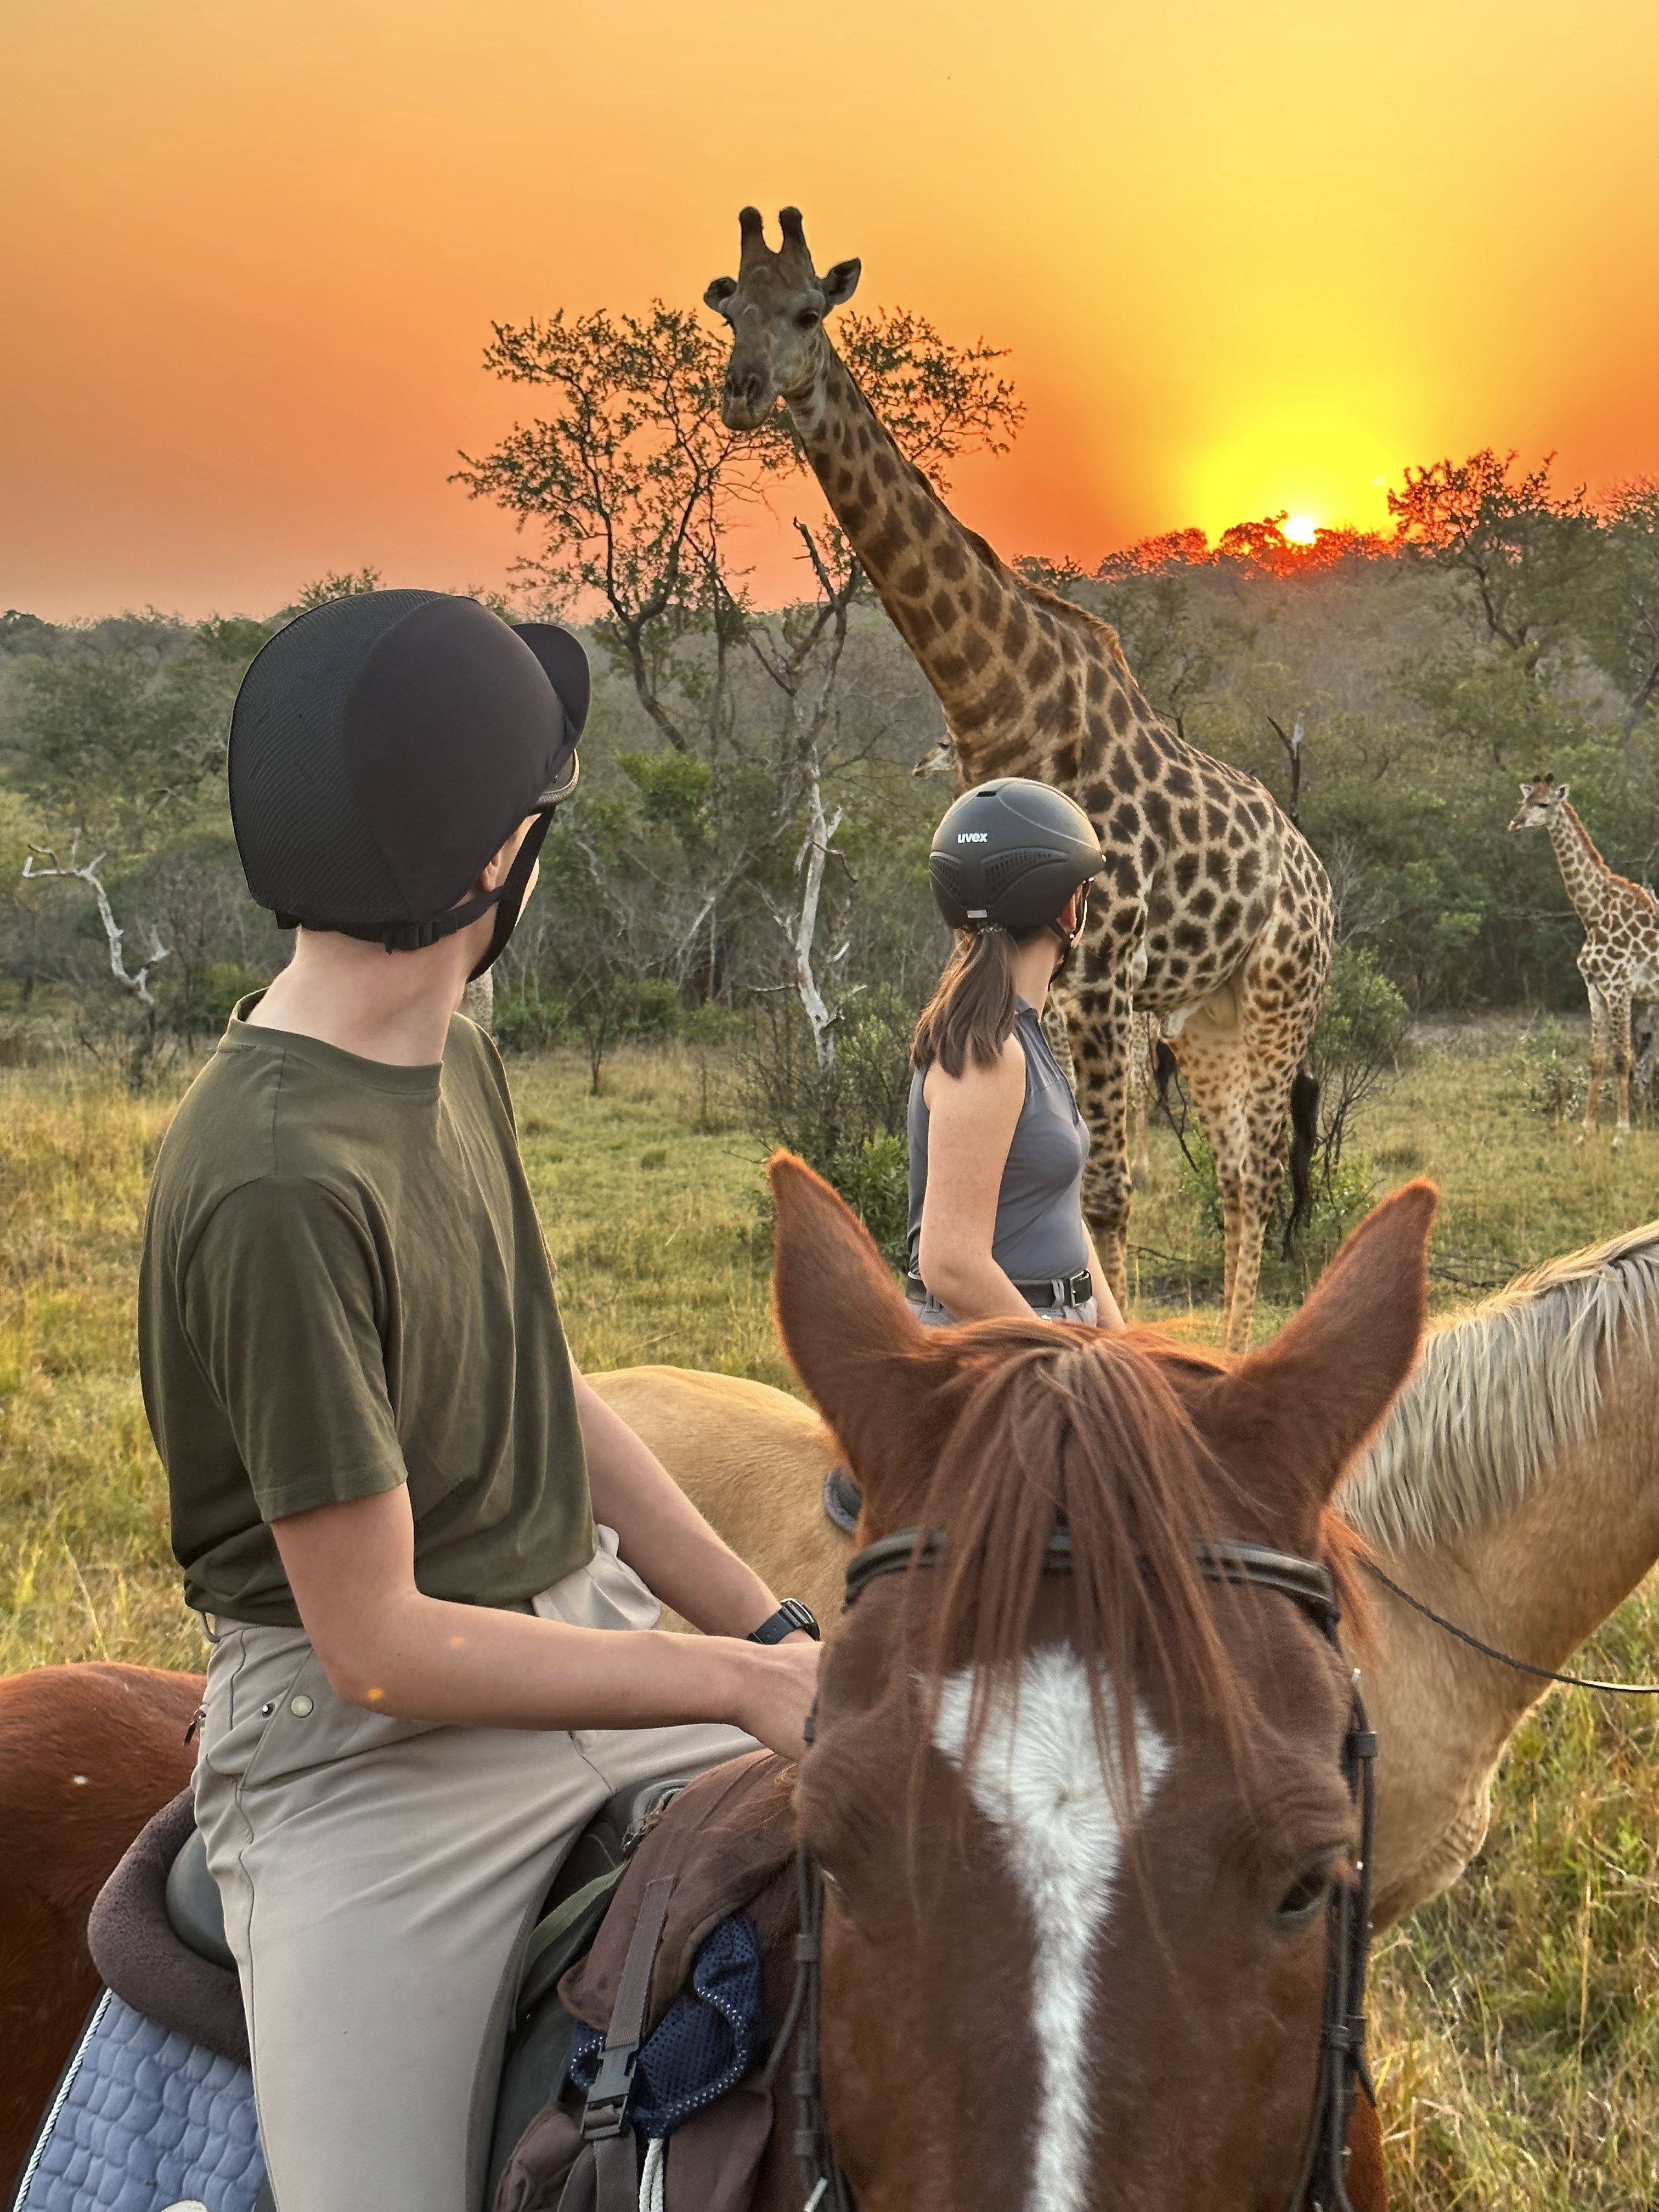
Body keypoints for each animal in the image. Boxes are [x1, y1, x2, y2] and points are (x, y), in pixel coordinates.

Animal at [707, 207, 1334, 1348]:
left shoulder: (1103, 972)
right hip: (1204, 1015)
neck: (992, 698)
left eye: (810, 310)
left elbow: (1107, 1191)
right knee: (1234, 1172)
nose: (741, 391)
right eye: (729, 308)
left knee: (1258, 1171)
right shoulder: (1025, 967)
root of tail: (1314, 875)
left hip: (1278, 995)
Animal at [1508, 773, 1659, 1144]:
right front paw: (1586, 1131)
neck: (1593, 915)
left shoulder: (1620, 989)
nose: (1515, 823)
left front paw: (1621, 1134)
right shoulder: (1594, 989)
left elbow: (1622, 1058)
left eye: (1544, 804)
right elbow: (1597, 1058)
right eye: (1524, 800)